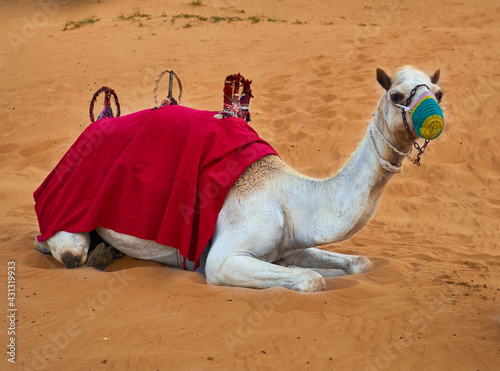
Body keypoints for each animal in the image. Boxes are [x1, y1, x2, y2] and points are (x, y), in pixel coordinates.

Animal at [34, 67, 442, 294]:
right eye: (397, 94)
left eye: (438, 91)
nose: (436, 116)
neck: (290, 195)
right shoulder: (225, 255)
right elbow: (311, 278)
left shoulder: (291, 241)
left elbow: (358, 263)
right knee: (68, 252)